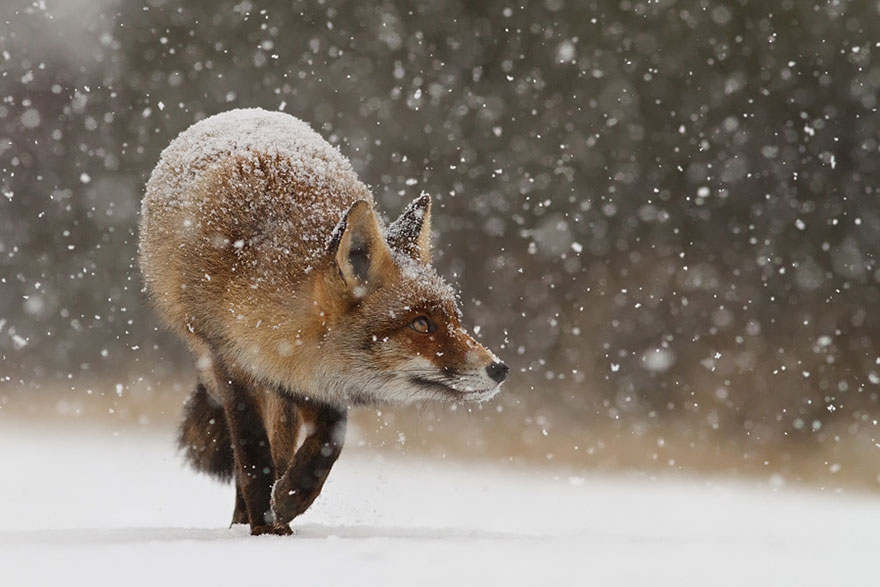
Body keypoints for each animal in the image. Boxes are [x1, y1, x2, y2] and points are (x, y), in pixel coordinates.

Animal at [139, 108, 508, 535]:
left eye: (454, 318)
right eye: (420, 324)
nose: (499, 368)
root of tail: (241, 112)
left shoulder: (312, 381)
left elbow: (330, 440)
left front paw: (290, 499)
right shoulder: (230, 364)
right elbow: (251, 455)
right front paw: (263, 526)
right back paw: (244, 520)